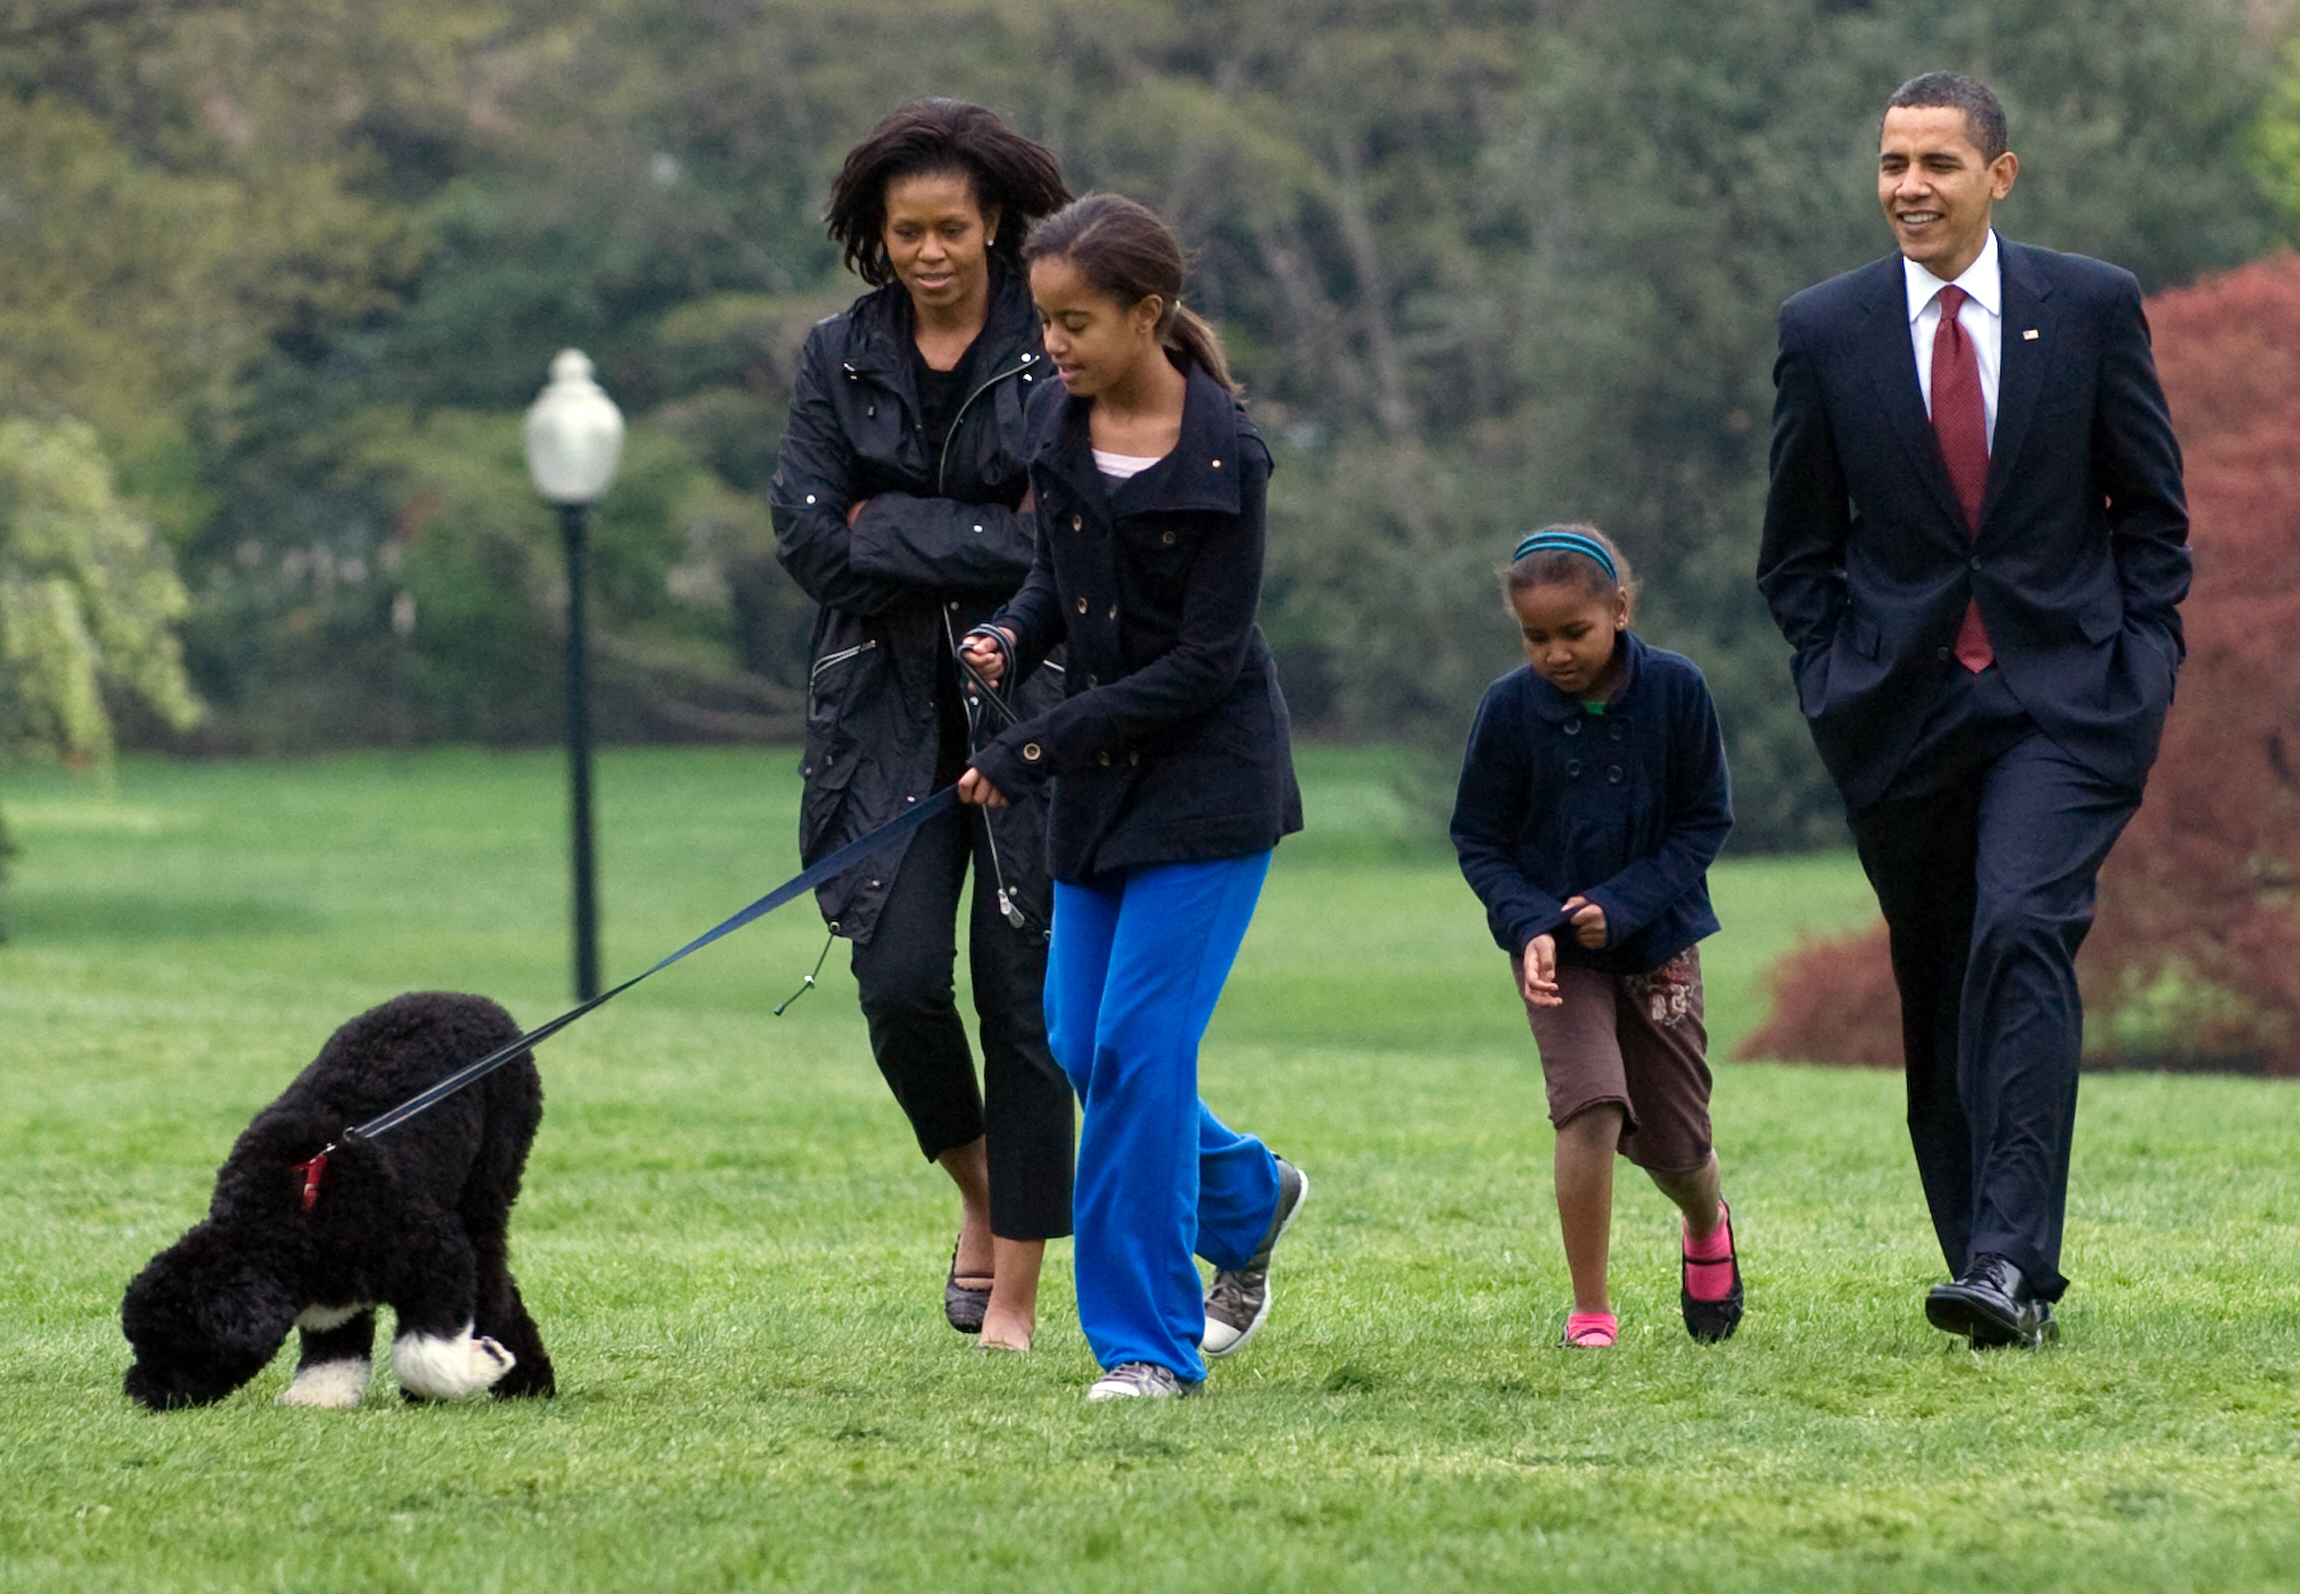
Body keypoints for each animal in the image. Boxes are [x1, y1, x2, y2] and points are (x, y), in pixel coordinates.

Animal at [122, 989, 556, 1407]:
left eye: (182, 1346)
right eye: (140, 1343)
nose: (141, 1394)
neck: (289, 1211)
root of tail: (480, 1003)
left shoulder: (437, 1255)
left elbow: (424, 1356)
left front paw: (486, 1361)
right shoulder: (327, 1284)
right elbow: (335, 1345)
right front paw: (319, 1395)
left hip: (488, 1185)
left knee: (492, 1281)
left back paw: (523, 1381)